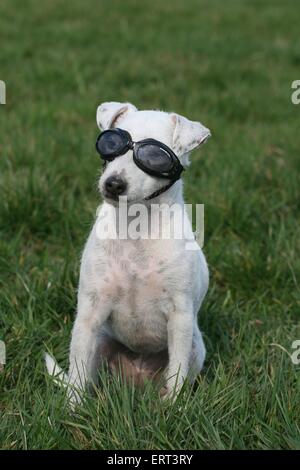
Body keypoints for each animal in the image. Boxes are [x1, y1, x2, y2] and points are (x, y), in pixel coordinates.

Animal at [46, 101, 211, 402]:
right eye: (110, 144)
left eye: (156, 158)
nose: (113, 183)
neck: (136, 227)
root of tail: (137, 377)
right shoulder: (89, 312)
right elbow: (76, 373)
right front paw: (72, 410)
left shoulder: (180, 318)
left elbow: (177, 373)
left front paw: (174, 409)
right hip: (101, 342)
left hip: (196, 346)